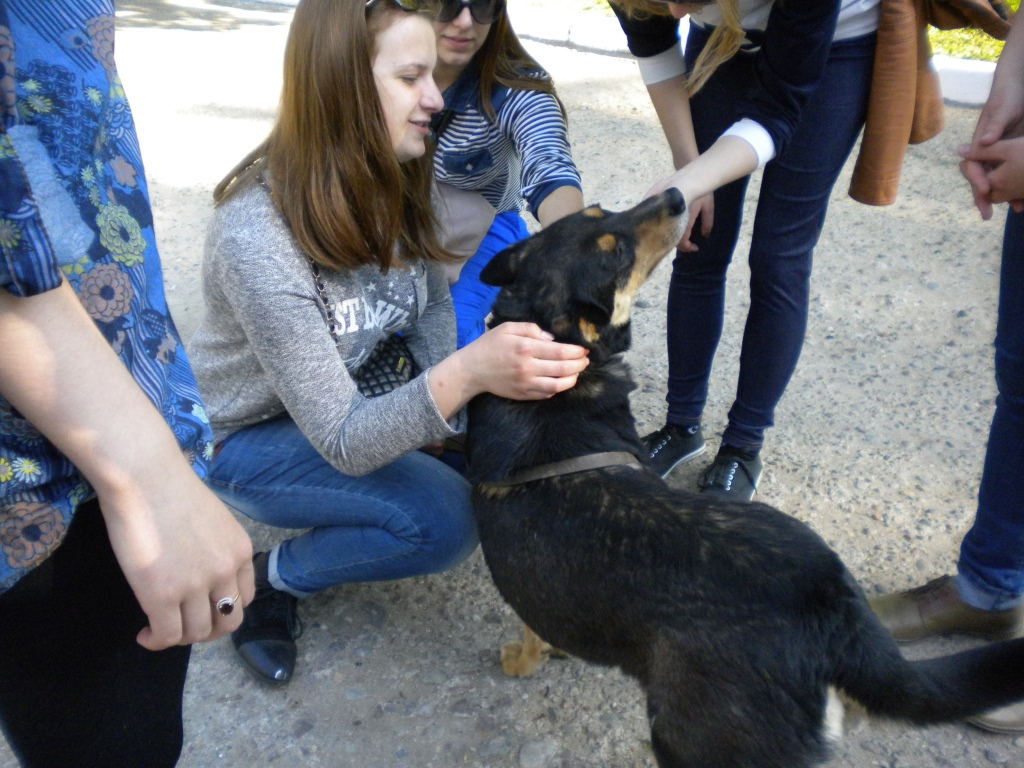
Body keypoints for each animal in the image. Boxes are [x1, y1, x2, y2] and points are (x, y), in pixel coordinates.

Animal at [468, 186, 1024, 768]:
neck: (557, 355)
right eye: (612, 246)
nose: (675, 195)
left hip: (692, 740)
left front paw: (522, 660)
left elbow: (531, 634)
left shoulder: (529, 590)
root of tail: (832, 610)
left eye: (602, 212)